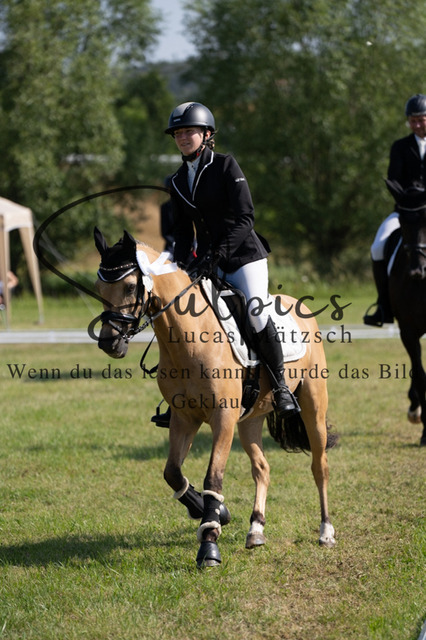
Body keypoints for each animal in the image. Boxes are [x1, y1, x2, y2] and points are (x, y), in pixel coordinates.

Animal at [93, 227, 338, 567]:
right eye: (98, 288)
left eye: (129, 286)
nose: (109, 343)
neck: (189, 336)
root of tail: (297, 306)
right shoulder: (184, 418)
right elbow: (172, 472)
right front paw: (212, 511)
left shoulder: (222, 417)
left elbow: (213, 478)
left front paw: (209, 542)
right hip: (251, 418)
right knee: (262, 468)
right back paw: (255, 529)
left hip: (313, 406)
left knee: (319, 466)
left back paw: (326, 532)